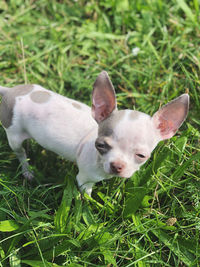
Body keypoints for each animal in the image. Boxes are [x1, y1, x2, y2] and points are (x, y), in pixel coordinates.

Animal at [0, 71, 189, 197]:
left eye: (141, 156)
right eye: (100, 145)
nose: (117, 166)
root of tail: (9, 91)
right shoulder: (84, 179)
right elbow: (87, 196)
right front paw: (88, 206)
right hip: (13, 135)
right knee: (20, 153)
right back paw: (27, 171)